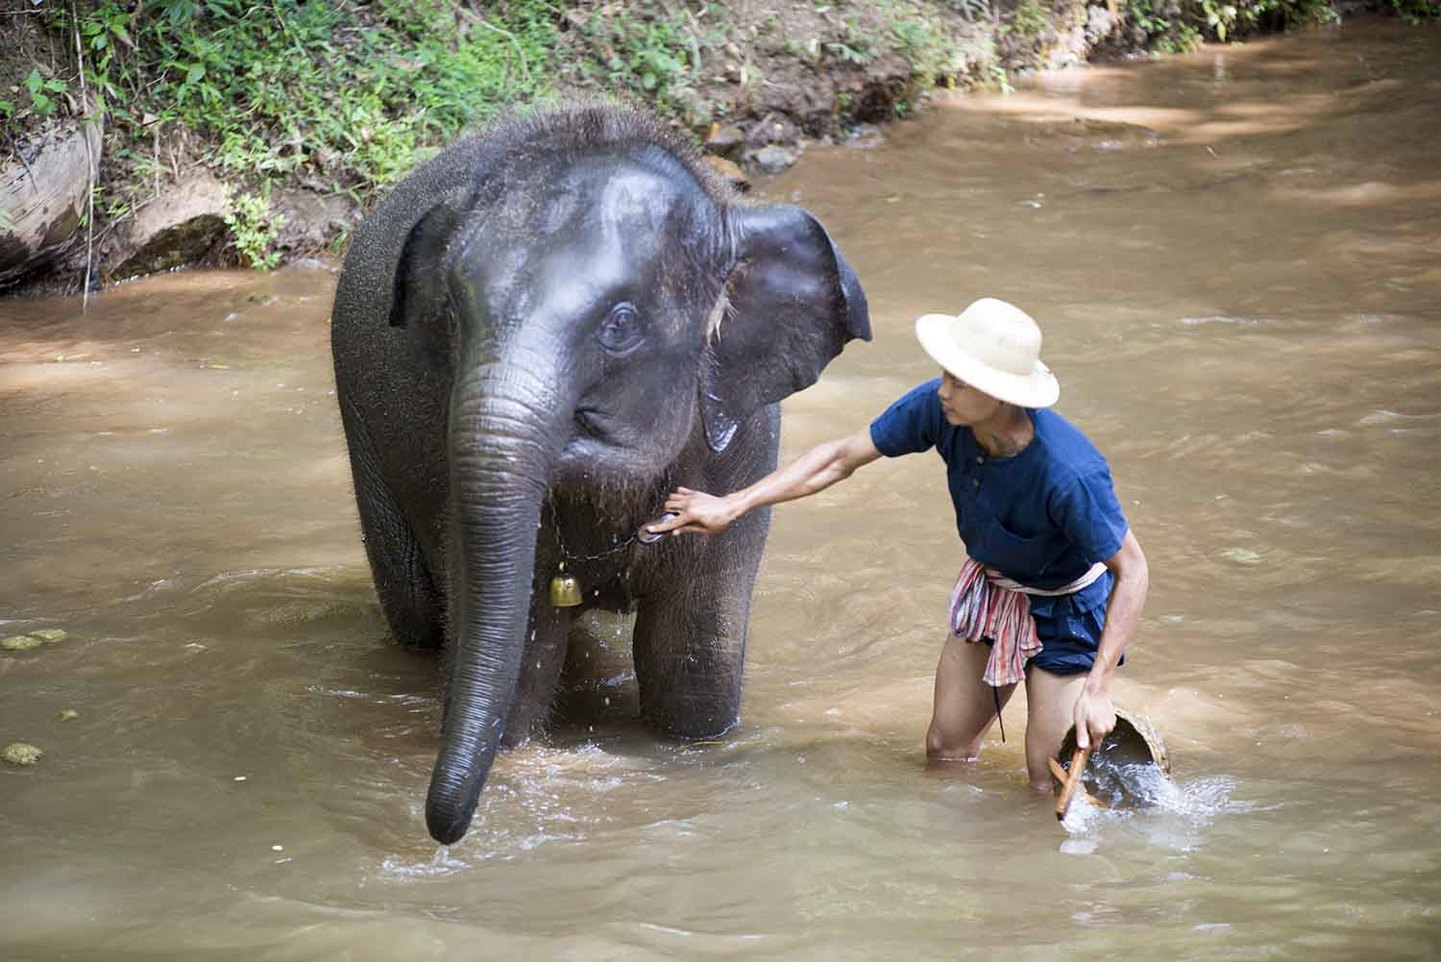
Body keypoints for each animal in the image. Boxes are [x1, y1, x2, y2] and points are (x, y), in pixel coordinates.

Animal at [329, 101, 864, 846]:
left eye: (620, 323)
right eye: (452, 314)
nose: (441, 831)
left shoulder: (745, 444)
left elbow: (692, 667)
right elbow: (517, 663)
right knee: (415, 611)